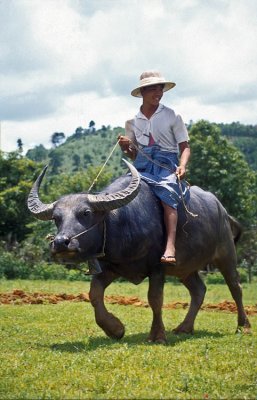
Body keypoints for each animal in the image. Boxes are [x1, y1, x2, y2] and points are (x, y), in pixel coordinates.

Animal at [28, 159, 250, 340]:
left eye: (86, 213)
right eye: (56, 218)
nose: (60, 243)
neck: (124, 225)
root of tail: (223, 211)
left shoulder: (157, 268)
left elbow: (155, 299)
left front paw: (157, 335)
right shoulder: (109, 268)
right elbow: (94, 294)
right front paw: (115, 329)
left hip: (226, 254)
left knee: (235, 287)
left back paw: (243, 326)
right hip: (186, 268)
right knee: (199, 290)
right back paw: (184, 327)